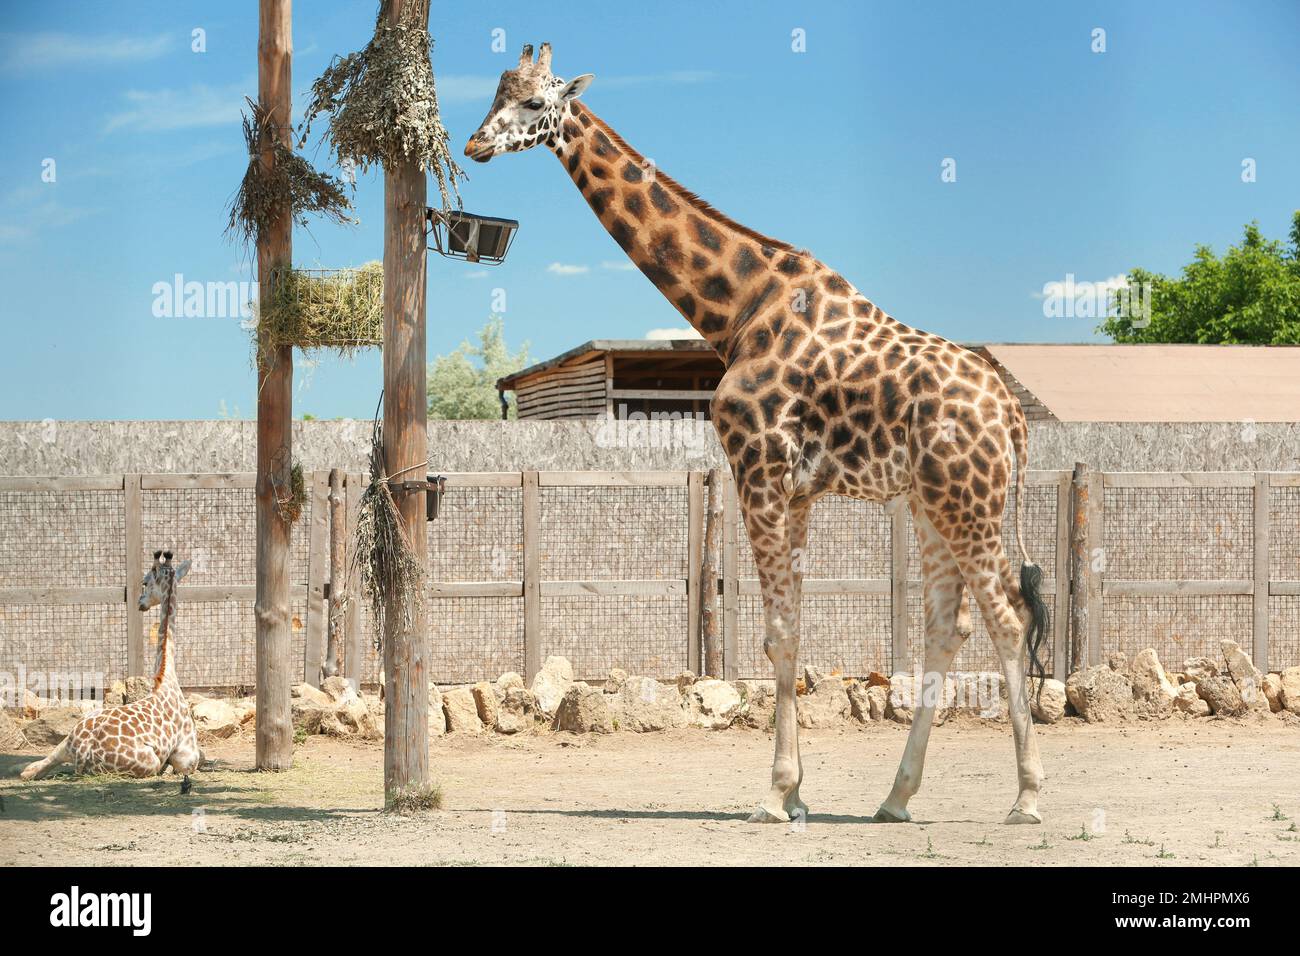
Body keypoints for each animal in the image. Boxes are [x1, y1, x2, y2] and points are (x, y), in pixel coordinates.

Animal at [20, 548, 200, 790]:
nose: (140, 602)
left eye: (145, 583)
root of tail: (84, 750)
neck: (167, 677)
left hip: (72, 735)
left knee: (32, 768)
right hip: (147, 761)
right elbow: (185, 764)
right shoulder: (188, 755)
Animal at [470, 44, 1055, 822]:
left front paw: (778, 796)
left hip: (971, 502)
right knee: (947, 625)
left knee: (1007, 619)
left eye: (536, 102)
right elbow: (794, 630)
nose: (474, 144)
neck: (735, 310)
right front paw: (797, 790)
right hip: (932, 504)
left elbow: (776, 635)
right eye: (495, 93)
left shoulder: (758, 468)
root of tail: (1012, 416)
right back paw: (895, 798)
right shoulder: (797, 490)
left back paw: (1026, 797)